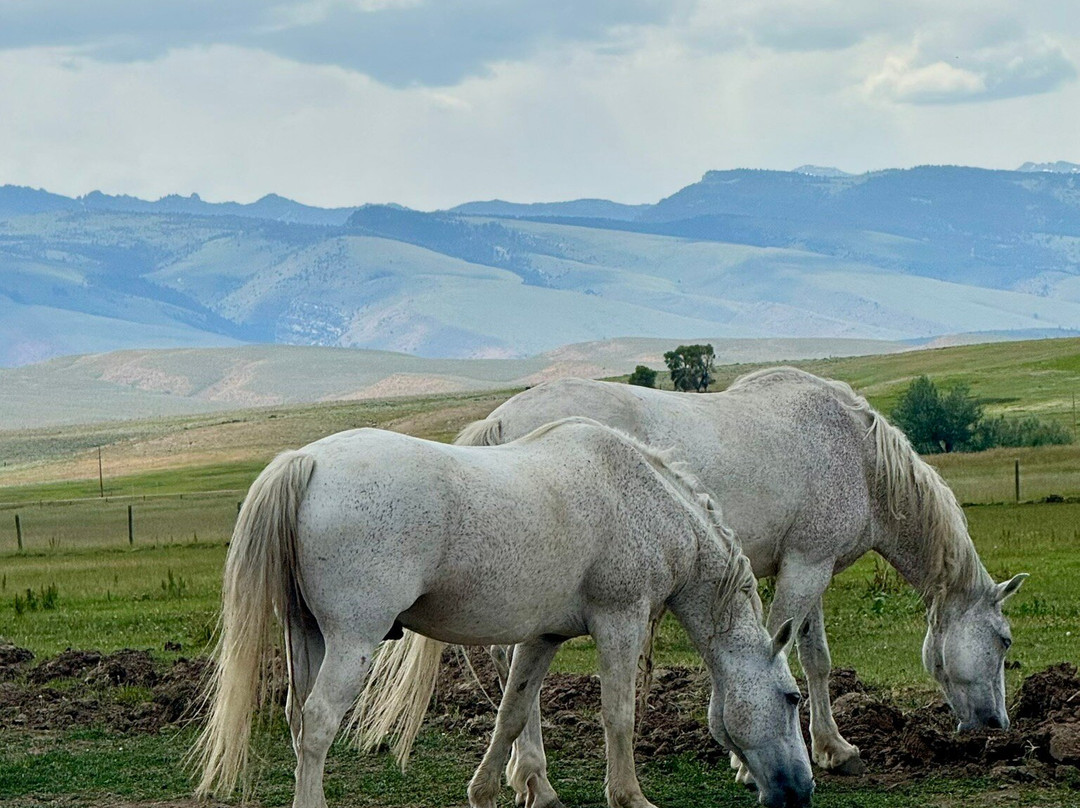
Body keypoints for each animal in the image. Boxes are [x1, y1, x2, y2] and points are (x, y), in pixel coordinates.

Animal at [194, 417, 814, 808]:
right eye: (792, 698)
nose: (802, 792)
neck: (644, 499)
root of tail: (308, 460)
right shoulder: (621, 622)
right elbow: (618, 715)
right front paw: (629, 796)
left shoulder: (543, 638)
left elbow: (513, 714)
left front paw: (496, 790)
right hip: (352, 641)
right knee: (320, 722)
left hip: (308, 636)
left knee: (299, 721)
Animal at [361, 368, 1026, 805]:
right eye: (1004, 642)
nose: (996, 725)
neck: (857, 455)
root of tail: (500, 421)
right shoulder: (806, 567)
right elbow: (790, 658)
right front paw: (751, 760)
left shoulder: (807, 566)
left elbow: (815, 658)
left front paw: (834, 749)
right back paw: (534, 778)